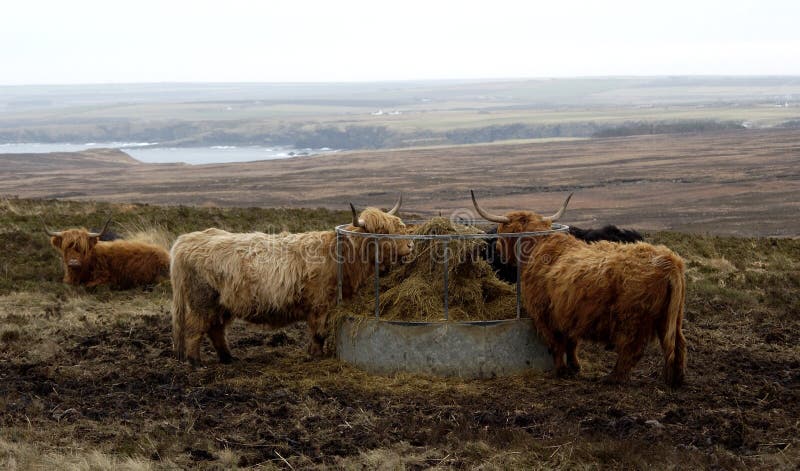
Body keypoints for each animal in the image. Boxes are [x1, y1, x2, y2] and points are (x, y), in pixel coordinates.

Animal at [173, 195, 416, 366]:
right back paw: (196, 362)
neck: (344, 257)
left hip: (222, 304)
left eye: (399, 225)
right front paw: (316, 356)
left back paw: (228, 358)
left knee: (216, 330)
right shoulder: (320, 305)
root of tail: (188, 239)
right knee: (195, 328)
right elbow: (319, 333)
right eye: (382, 232)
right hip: (203, 301)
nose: (410, 245)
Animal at [472, 192, 684, 388]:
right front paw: (575, 366)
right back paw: (675, 379)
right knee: (678, 344)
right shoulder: (570, 312)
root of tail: (669, 262)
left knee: (632, 348)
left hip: (631, 319)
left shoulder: (544, 314)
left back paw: (613, 378)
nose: (498, 250)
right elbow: (571, 342)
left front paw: (561, 370)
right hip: (671, 318)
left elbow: (556, 343)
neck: (538, 247)